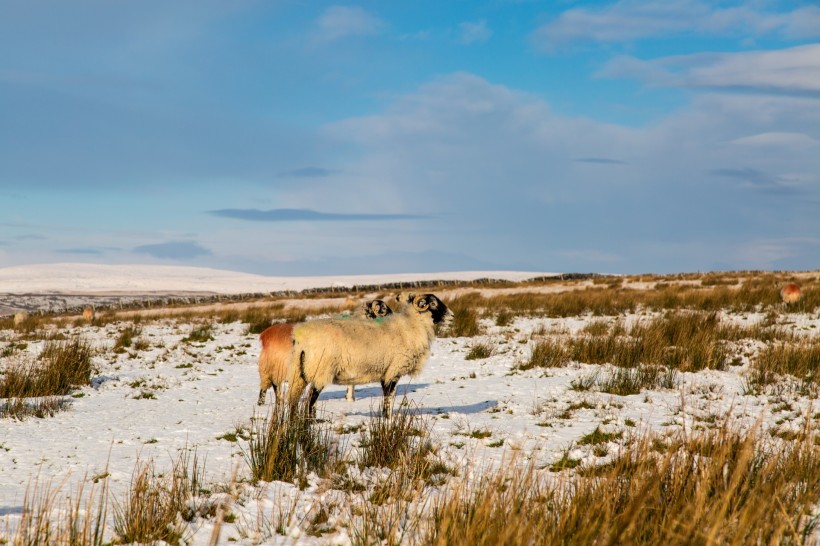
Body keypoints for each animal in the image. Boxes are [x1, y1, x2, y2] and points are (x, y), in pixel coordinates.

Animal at [258, 298, 396, 404]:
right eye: (383, 309)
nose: (394, 316)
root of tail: (265, 334)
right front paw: (350, 399)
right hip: (276, 366)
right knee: (273, 386)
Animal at [286, 294, 454, 416]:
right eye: (433, 304)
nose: (452, 316)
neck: (411, 327)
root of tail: (299, 335)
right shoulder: (392, 371)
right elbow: (389, 399)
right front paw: (388, 420)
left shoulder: (386, 372)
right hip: (320, 370)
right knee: (310, 401)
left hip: (300, 373)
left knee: (295, 402)